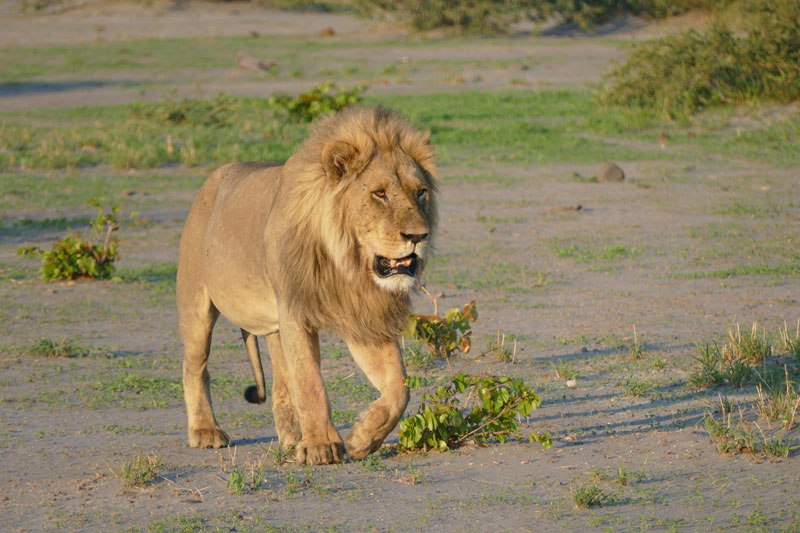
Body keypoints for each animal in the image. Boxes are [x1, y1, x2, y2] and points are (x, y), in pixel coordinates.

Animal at [176, 105, 438, 465]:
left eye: (420, 192)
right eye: (380, 193)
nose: (418, 236)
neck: (346, 263)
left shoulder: (365, 316)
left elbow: (399, 387)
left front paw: (362, 438)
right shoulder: (295, 312)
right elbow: (310, 381)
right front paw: (319, 447)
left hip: (272, 327)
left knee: (281, 384)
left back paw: (291, 440)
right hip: (196, 304)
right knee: (195, 367)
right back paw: (205, 431)